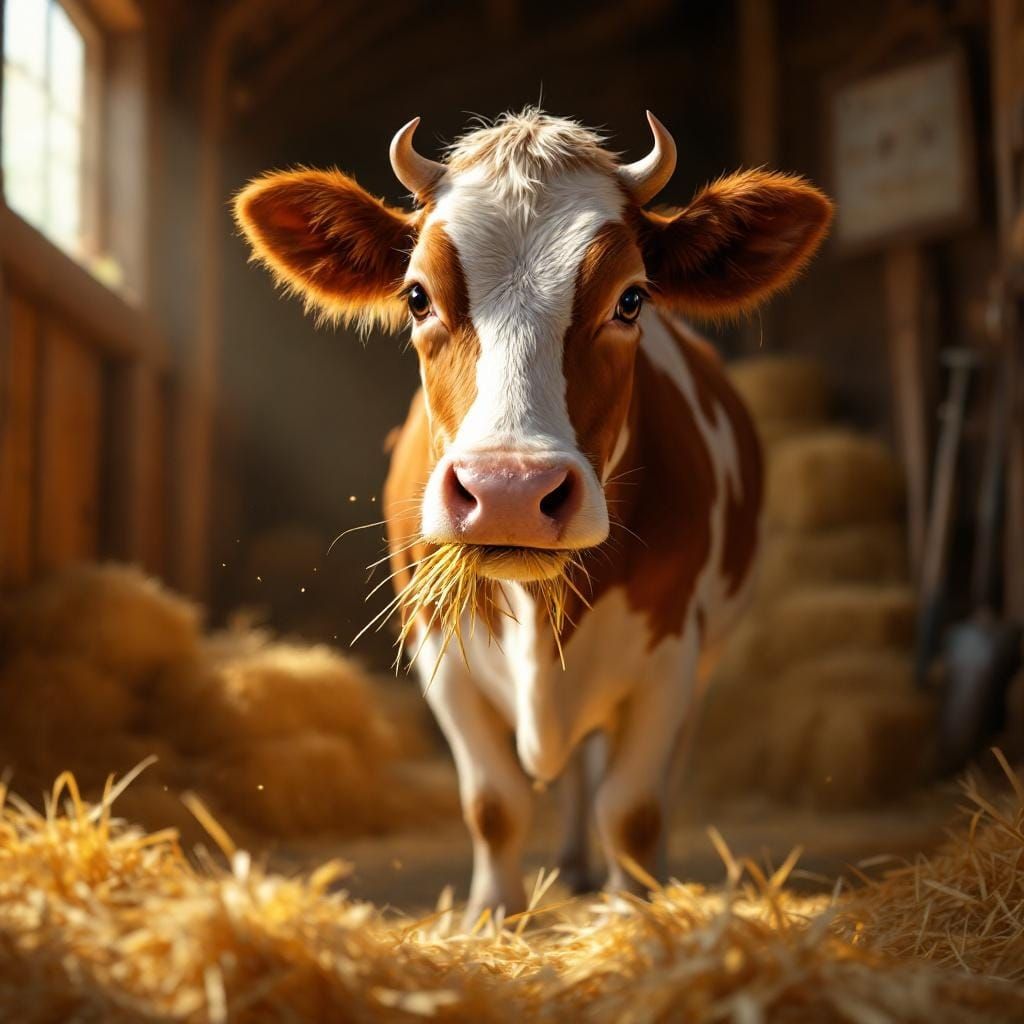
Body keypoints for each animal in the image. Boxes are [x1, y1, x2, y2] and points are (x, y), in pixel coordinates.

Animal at [235, 108, 832, 925]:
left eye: (631, 300)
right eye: (417, 296)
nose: (510, 490)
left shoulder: (672, 650)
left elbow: (633, 807)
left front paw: (635, 912)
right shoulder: (437, 646)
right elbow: (494, 803)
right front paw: (492, 913)